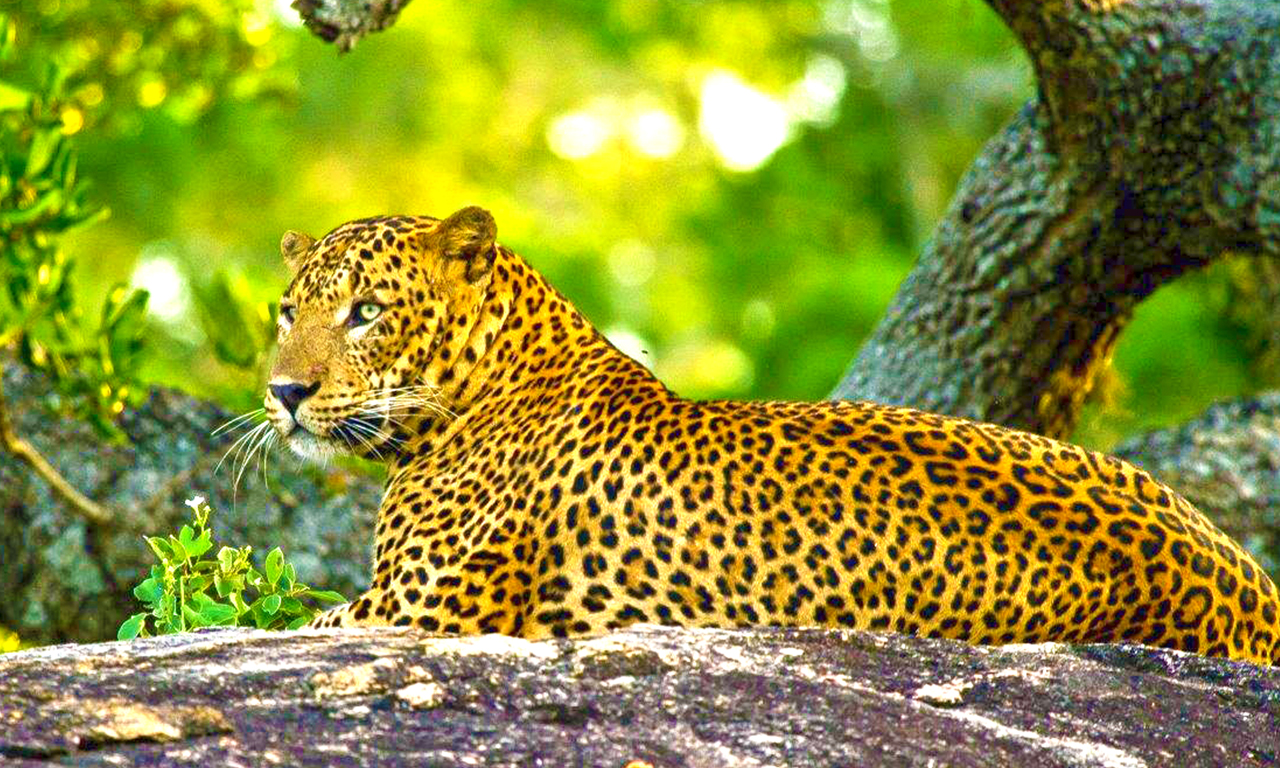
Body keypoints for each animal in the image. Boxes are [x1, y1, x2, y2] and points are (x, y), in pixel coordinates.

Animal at [264, 206, 1280, 665]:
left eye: (365, 312)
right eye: (287, 312)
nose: (283, 390)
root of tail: (1246, 579)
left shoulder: (420, 609)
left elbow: (282, 618)